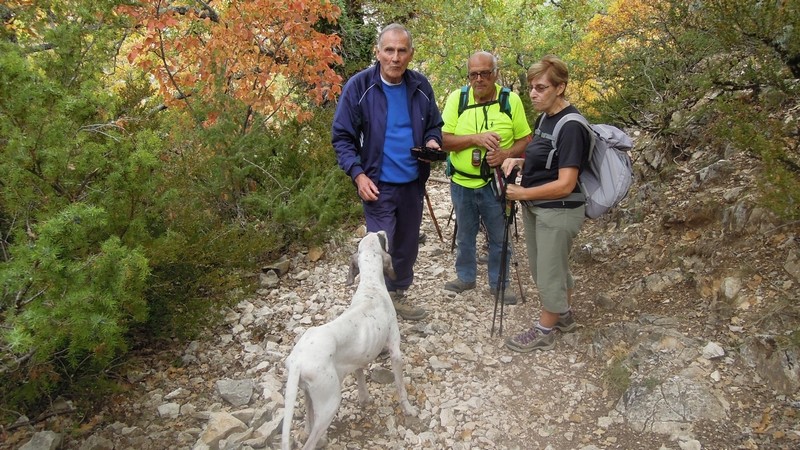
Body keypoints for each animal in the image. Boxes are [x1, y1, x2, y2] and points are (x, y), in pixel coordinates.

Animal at [282, 230, 418, 448]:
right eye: (380, 239)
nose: (381, 231)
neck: (370, 286)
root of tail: (297, 361)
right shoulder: (395, 352)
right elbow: (401, 387)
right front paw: (409, 409)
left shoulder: (358, 359)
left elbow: (361, 379)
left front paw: (364, 399)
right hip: (329, 404)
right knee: (310, 441)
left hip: (307, 395)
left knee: (307, 423)